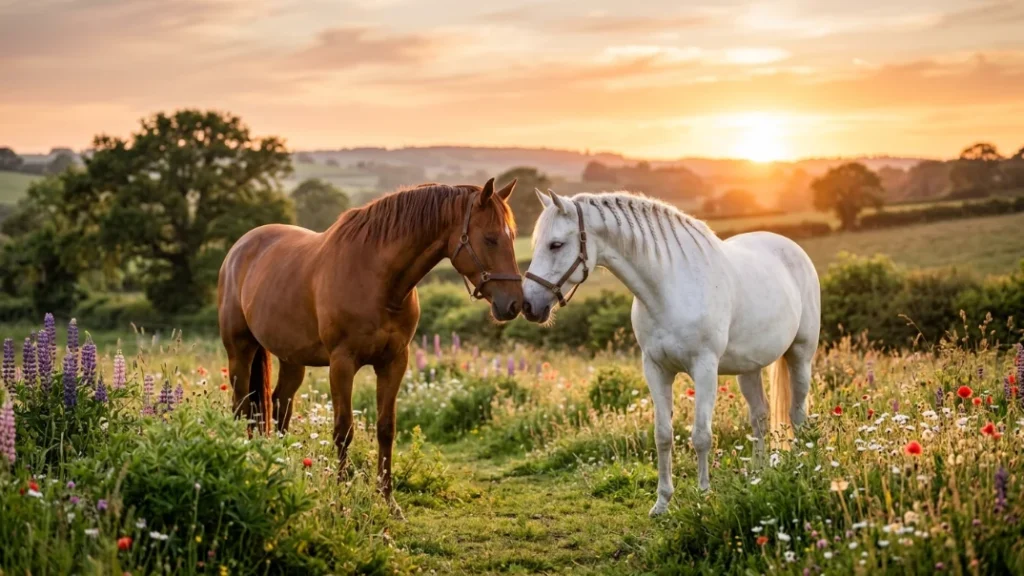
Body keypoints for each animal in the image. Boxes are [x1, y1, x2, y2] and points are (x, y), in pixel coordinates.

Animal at [218, 178, 523, 514]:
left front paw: (389, 501)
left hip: (291, 359)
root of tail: (240, 248)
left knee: (279, 407)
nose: (515, 304)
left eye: (512, 237)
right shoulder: (342, 363)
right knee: (242, 407)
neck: (377, 278)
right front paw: (340, 497)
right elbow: (343, 430)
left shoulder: (394, 362)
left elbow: (386, 428)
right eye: (491, 239)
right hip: (240, 351)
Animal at [521, 189, 820, 516]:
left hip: (801, 355)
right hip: (749, 369)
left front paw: (703, 497)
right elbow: (662, 435)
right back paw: (758, 474)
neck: (669, 288)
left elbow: (701, 436)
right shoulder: (656, 369)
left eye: (556, 244)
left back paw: (800, 469)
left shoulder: (704, 368)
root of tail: (792, 248)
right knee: (761, 417)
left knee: (797, 414)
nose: (528, 306)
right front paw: (662, 502)